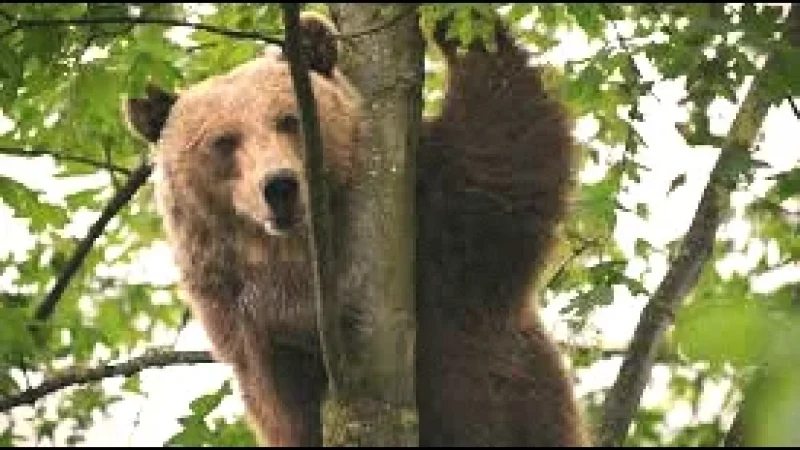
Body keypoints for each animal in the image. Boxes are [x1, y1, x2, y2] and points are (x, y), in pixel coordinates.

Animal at [123, 10, 588, 447]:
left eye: (289, 119)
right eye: (223, 141)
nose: (279, 186)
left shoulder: (441, 224)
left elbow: (505, 158)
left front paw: (453, 22)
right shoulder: (240, 322)